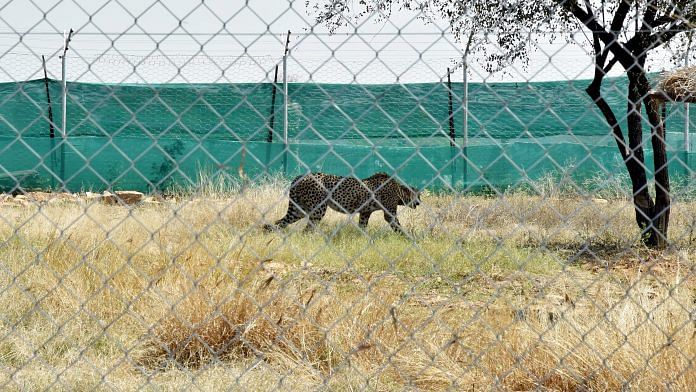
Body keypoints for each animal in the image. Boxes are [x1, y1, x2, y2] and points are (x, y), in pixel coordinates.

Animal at [266, 172, 418, 233]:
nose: (419, 203)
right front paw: (407, 238)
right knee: (307, 229)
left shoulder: (365, 212)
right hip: (318, 209)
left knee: (280, 222)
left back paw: (269, 231)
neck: (399, 189)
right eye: (416, 195)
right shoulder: (389, 213)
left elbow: (362, 226)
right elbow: (397, 226)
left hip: (299, 210)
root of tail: (301, 176)